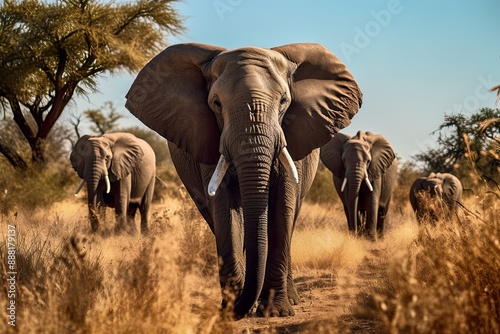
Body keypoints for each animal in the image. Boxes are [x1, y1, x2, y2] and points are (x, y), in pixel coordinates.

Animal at [123, 43, 362, 320]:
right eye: (216, 103)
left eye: (284, 101)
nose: (233, 308)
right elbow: (225, 211)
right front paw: (232, 309)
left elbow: (282, 207)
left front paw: (276, 312)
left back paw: (288, 297)